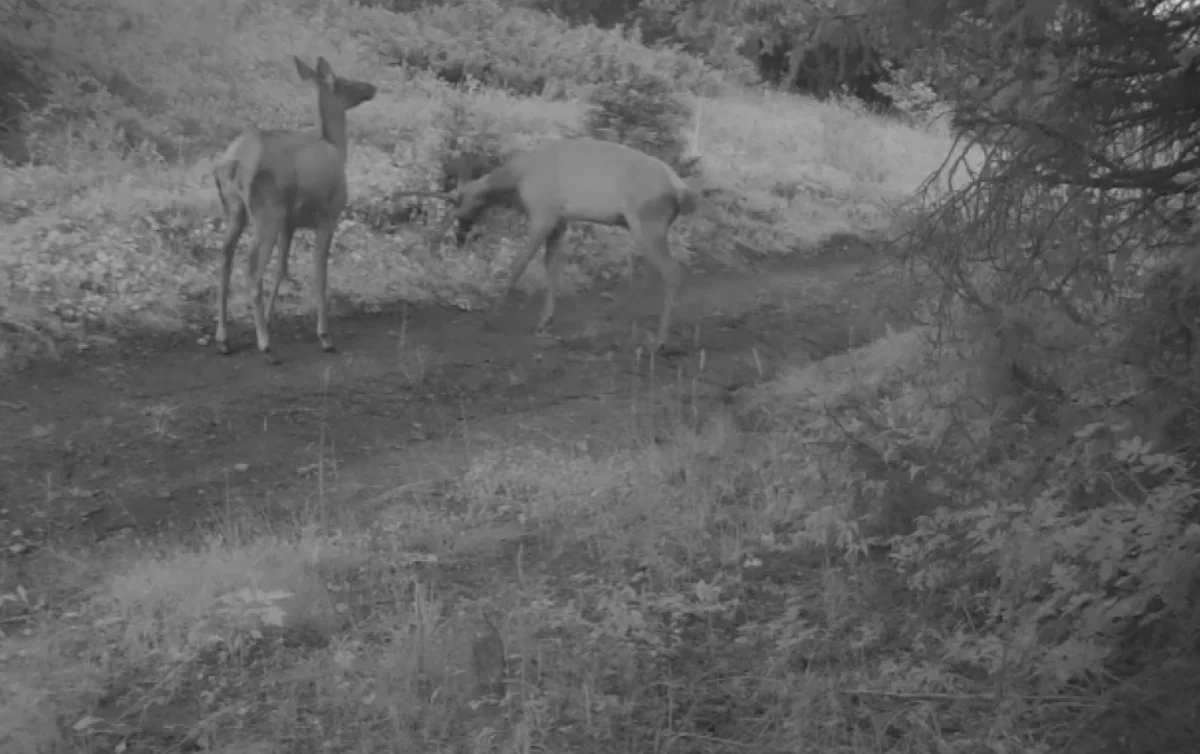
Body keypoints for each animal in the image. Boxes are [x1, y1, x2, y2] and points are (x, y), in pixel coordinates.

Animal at [212, 55, 374, 362]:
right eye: (346, 81)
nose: (372, 86)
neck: (337, 149)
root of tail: (235, 160)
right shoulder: (329, 216)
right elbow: (320, 272)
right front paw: (324, 335)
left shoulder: (290, 223)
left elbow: (282, 268)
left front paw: (270, 319)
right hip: (266, 212)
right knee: (251, 270)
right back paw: (265, 344)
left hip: (235, 210)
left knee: (225, 257)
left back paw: (224, 338)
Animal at [446, 137, 700, 350]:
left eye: (458, 199)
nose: (459, 234)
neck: (517, 180)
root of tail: (681, 190)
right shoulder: (560, 222)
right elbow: (551, 266)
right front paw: (546, 320)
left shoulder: (543, 214)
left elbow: (519, 262)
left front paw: (491, 315)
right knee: (675, 268)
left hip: (647, 223)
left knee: (673, 271)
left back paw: (660, 341)